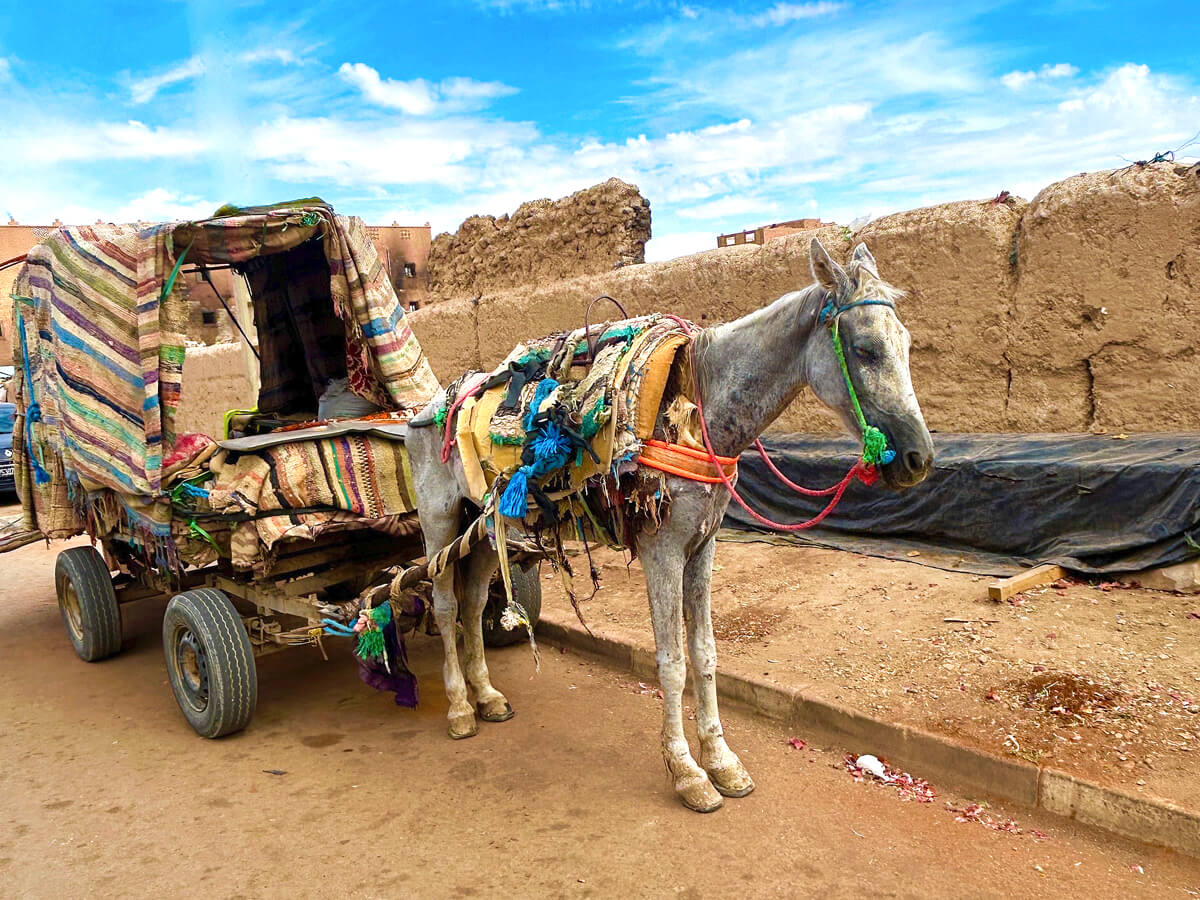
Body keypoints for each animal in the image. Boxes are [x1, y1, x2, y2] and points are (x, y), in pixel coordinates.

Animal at [406, 238, 933, 812]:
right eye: (864, 349)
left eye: (906, 344)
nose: (919, 458)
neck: (696, 408)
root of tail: (427, 409)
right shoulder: (662, 551)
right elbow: (673, 662)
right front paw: (687, 772)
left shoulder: (702, 548)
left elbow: (705, 654)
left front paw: (721, 761)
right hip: (439, 521)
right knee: (445, 605)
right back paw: (460, 708)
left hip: (483, 526)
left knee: (475, 600)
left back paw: (486, 696)